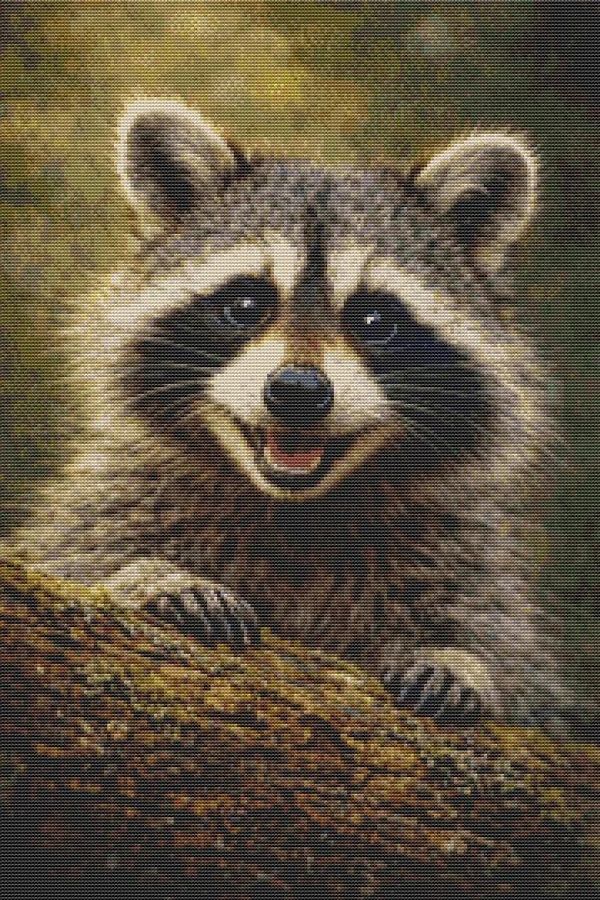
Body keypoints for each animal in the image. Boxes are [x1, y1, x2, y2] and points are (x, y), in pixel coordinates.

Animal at [9, 99, 570, 729]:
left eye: (374, 320)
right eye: (245, 304)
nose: (298, 389)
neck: (299, 509)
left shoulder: (460, 553)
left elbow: (511, 669)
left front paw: (462, 662)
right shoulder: (116, 505)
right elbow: (79, 562)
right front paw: (151, 576)